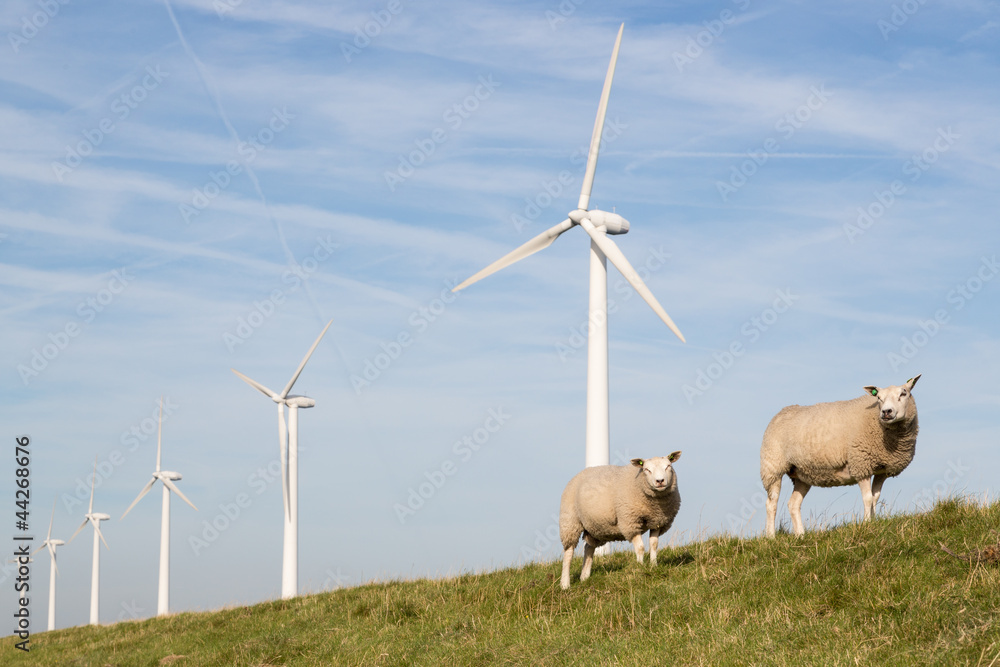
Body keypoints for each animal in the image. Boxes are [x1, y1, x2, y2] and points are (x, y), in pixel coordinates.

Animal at [559, 452, 681, 589]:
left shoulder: (657, 522)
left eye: (668, 466)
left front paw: (654, 565)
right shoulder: (630, 522)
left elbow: (654, 545)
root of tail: (577, 475)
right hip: (570, 522)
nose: (660, 481)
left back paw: (584, 577)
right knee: (568, 553)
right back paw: (565, 584)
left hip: (594, 527)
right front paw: (640, 566)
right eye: (646, 469)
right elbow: (640, 547)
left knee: (588, 548)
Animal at [760, 375, 921, 538]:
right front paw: (867, 523)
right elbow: (868, 498)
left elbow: (875, 497)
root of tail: (782, 412)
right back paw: (771, 536)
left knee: (793, 504)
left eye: (904, 393)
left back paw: (800, 535)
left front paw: (874, 521)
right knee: (771, 503)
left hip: (802, 474)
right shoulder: (860, 464)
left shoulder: (881, 470)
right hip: (773, 466)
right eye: (879, 398)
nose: (886, 412)